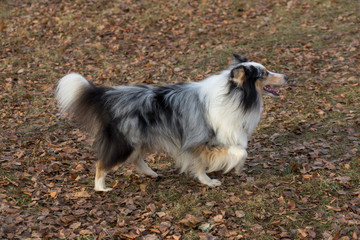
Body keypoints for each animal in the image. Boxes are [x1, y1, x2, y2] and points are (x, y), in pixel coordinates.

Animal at [55, 54, 286, 191]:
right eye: (264, 74)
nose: (287, 77)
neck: (233, 96)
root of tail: (107, 95)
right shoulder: (198, 139)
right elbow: (237, 152)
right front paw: (214, 178)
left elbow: (220, 156)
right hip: (125, 142)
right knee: (101, 164)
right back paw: (101, 188)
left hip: (141, 138)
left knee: (137, 159)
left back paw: (151, 173)